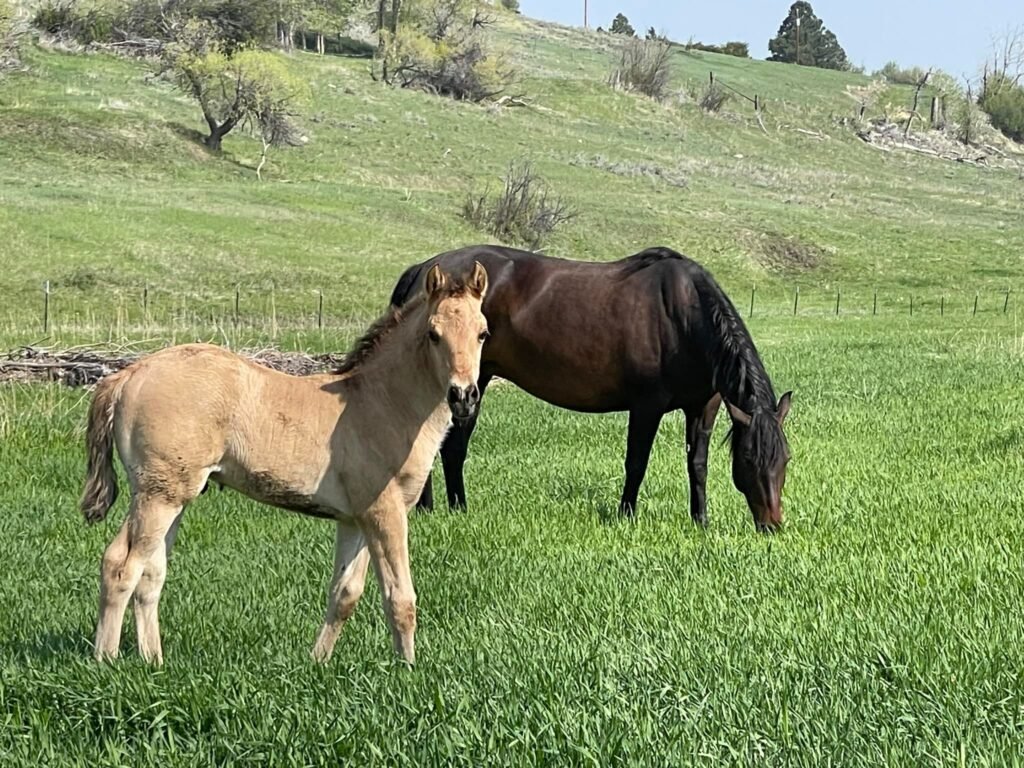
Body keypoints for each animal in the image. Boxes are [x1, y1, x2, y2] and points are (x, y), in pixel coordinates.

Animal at [80, 263, 490, 665]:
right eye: (433, 334)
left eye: (483, 334)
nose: (464, 396)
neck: (382, 402)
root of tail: (126, 375)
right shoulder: (385, 513)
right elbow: (400, 597)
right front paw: (407, 670)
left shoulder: (354, 519)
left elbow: (344, 594)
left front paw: (317, 663)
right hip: (157, 496)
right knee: (121, 566)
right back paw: (107, 661)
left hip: (173, 496)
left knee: (151, 574)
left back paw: (154, 662)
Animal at [389, 246, 792, 532]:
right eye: (749, 458)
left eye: (786, 459)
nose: (772, 525)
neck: (683, 314)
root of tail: (424, 268)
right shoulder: (647, 406)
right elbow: (636, 463)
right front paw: (627, 516)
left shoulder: (703, 407)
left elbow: (698, 465)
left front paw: (701, 521)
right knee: (451, 445)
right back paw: (456, 508)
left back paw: (430, 507)